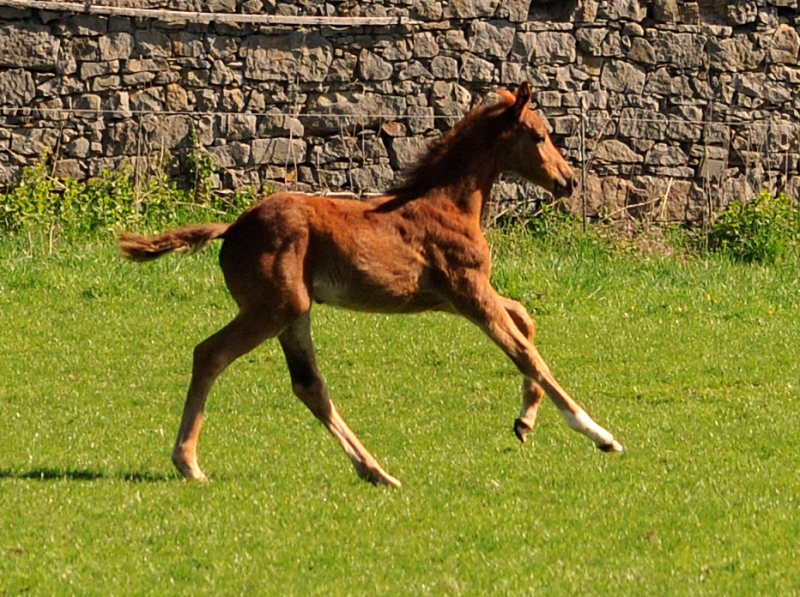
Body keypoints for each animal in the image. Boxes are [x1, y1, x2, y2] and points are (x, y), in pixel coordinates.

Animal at [119, 81, 620, 486]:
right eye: (538, 135)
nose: (568, 181)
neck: (449, 203)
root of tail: (233, 228)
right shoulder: (467, 291)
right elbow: (527, 354)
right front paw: (600, 434)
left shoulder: (458, 295)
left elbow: (525, 320)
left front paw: (525, 422)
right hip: (275, 307)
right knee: (211, 354)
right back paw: (188, 463)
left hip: (293, 313)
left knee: (309, 386)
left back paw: (376, 471)